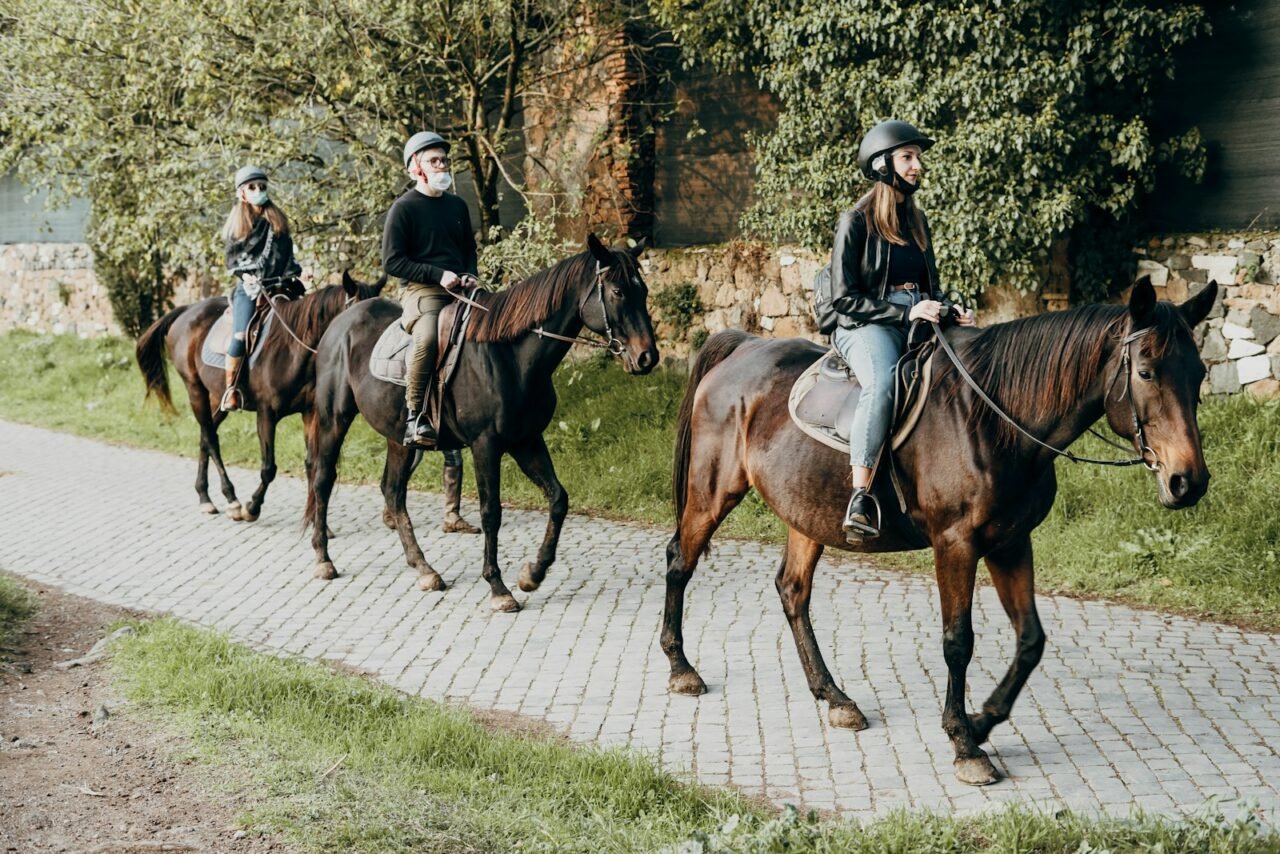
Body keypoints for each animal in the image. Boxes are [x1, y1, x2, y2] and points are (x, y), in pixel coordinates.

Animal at [136, 273, 384, 524]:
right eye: (360, 316)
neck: (293, 349)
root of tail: (187, 311)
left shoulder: (310, 413)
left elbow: (311, 464)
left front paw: (315, 520)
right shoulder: (266, 414)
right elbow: (268, 468)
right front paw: (252, 508)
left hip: (217, 398)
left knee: (205, 435)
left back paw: (204, 496)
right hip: (195, 390)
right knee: (211, 439)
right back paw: (232, 500)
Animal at [302, 231, 660, 606]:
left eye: (643, 291)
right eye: (618, 291)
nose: (647, 357)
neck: (510, 353)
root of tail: (340, 324)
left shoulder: (526, 440)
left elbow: (558, 499)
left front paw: (533, 573)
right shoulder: (485, 444)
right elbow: (491, 512)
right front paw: (498, 587)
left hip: (398, 437)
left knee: (392, 491)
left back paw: (424, 569)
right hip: (333, 420)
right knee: (323, 479)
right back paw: (324, 558)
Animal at [665, 277, 1213, 783]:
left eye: (1200, 373)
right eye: (1145, 372)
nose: (1188, 481)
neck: (995, 420)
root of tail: (743, 347)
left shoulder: (1011, 542)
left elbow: (1030, 640)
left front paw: (983, 721)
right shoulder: (956, 544)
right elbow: (958, 641)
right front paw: (963, 741)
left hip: (808, 511)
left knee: (792, 589)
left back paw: (834, 697)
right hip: (713, 492)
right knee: (680, 561)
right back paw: (682, 669)